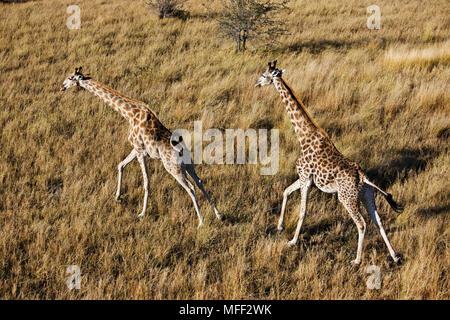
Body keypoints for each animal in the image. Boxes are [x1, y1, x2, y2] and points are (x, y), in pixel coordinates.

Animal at [59, 66, 221, 226]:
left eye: (71, 77)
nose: (62, 86)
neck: (129, 114)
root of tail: (182, 150)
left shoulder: (140, 151)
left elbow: (146, 183)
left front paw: (142, 213)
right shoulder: (137, 149)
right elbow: (121, 165)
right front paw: (117, 197)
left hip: (172, 168)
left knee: (191, 187)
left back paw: (201, 222)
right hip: (188, 164)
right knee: (199, 181)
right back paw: (218, 214)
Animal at [256, 60, 404, 264]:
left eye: (264, 75)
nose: (257, 84)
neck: (303, 136)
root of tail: (362, 177)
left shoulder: (305, 178)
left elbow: (302, 211)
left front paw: (293, 241)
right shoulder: (305, 178)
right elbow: (286, 191)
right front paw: (279, 226)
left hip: (346, 198)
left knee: (362, 223)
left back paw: (357, 260)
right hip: (367, 195)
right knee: (379, 221)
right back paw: (394, 256)